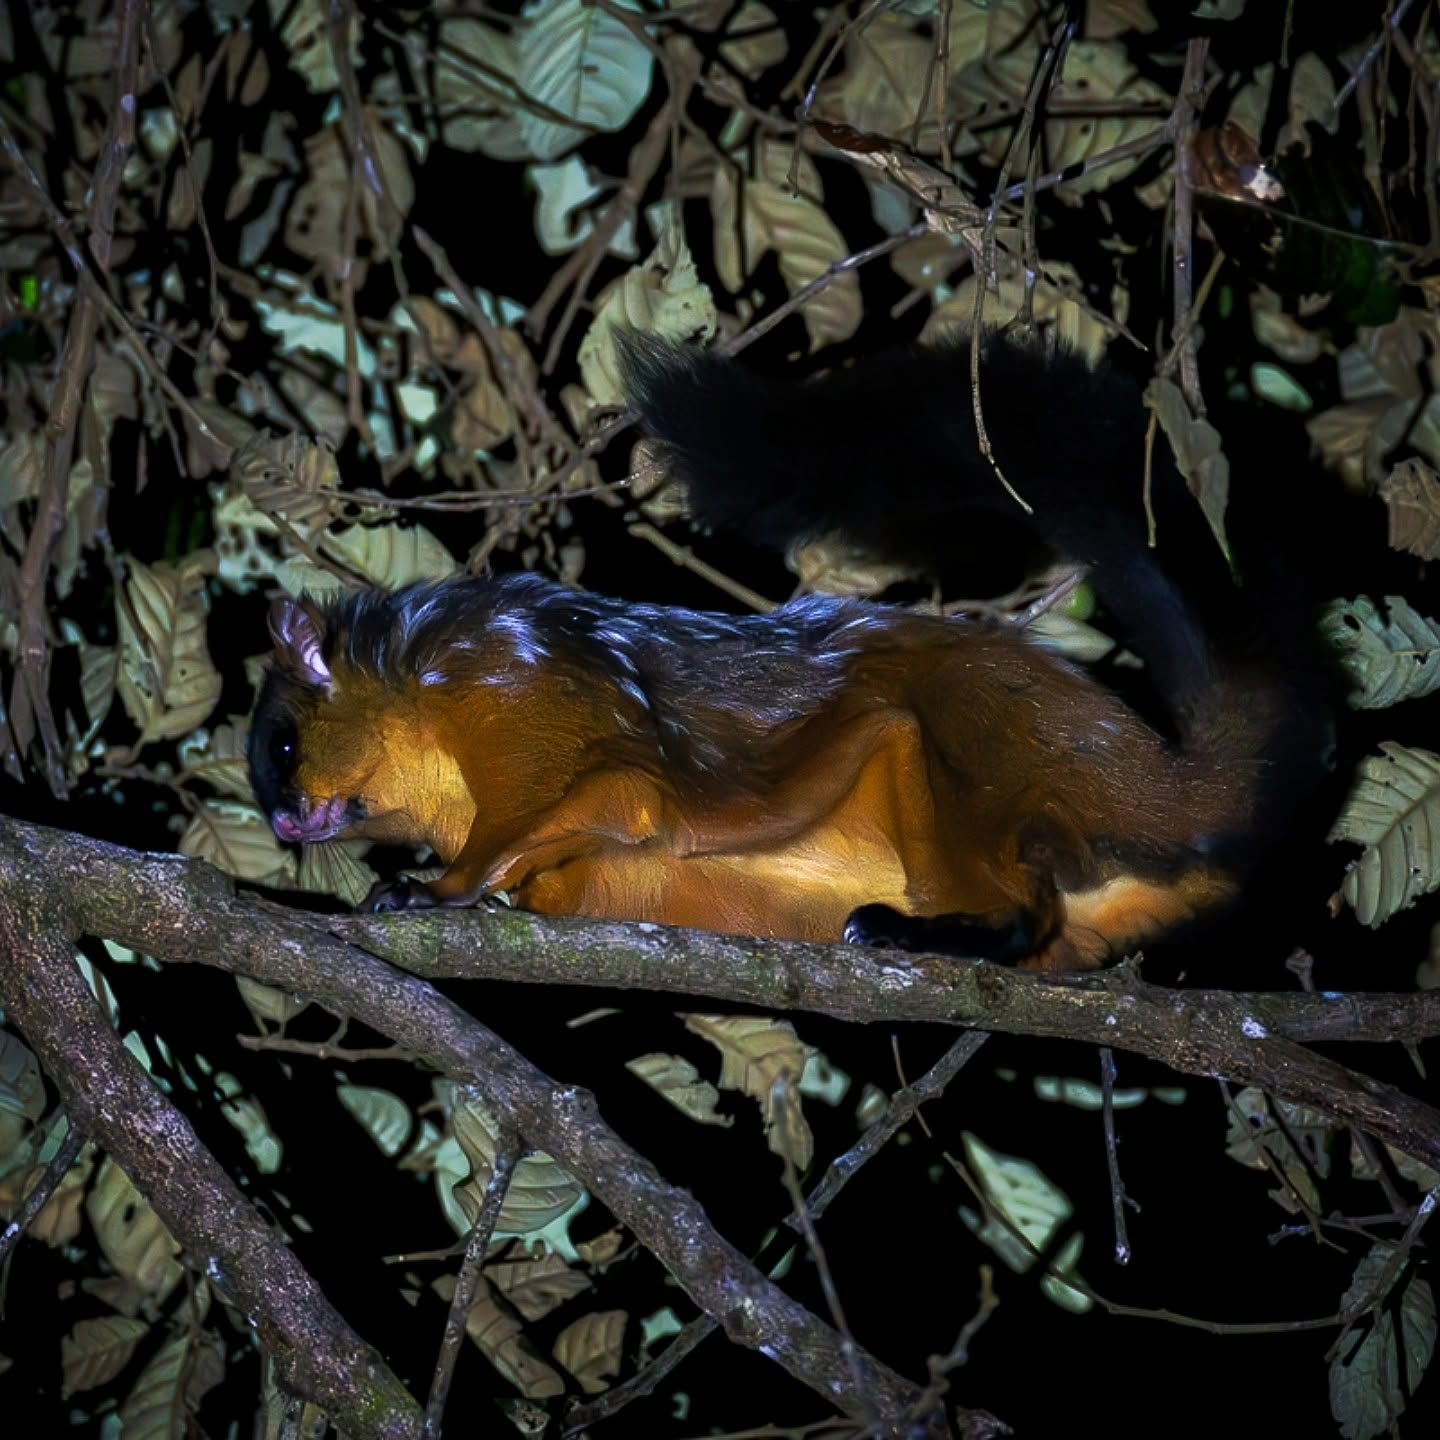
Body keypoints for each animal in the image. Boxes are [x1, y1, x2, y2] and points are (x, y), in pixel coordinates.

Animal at [247, 335, 1332, 971]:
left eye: (286, 751)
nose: (288, 826)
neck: (422, 713)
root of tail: (1153, 780)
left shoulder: (505, 677)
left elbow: (608, 792)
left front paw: (437, 889)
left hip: (1004, 738)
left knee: (950, 776)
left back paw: (945, 929)